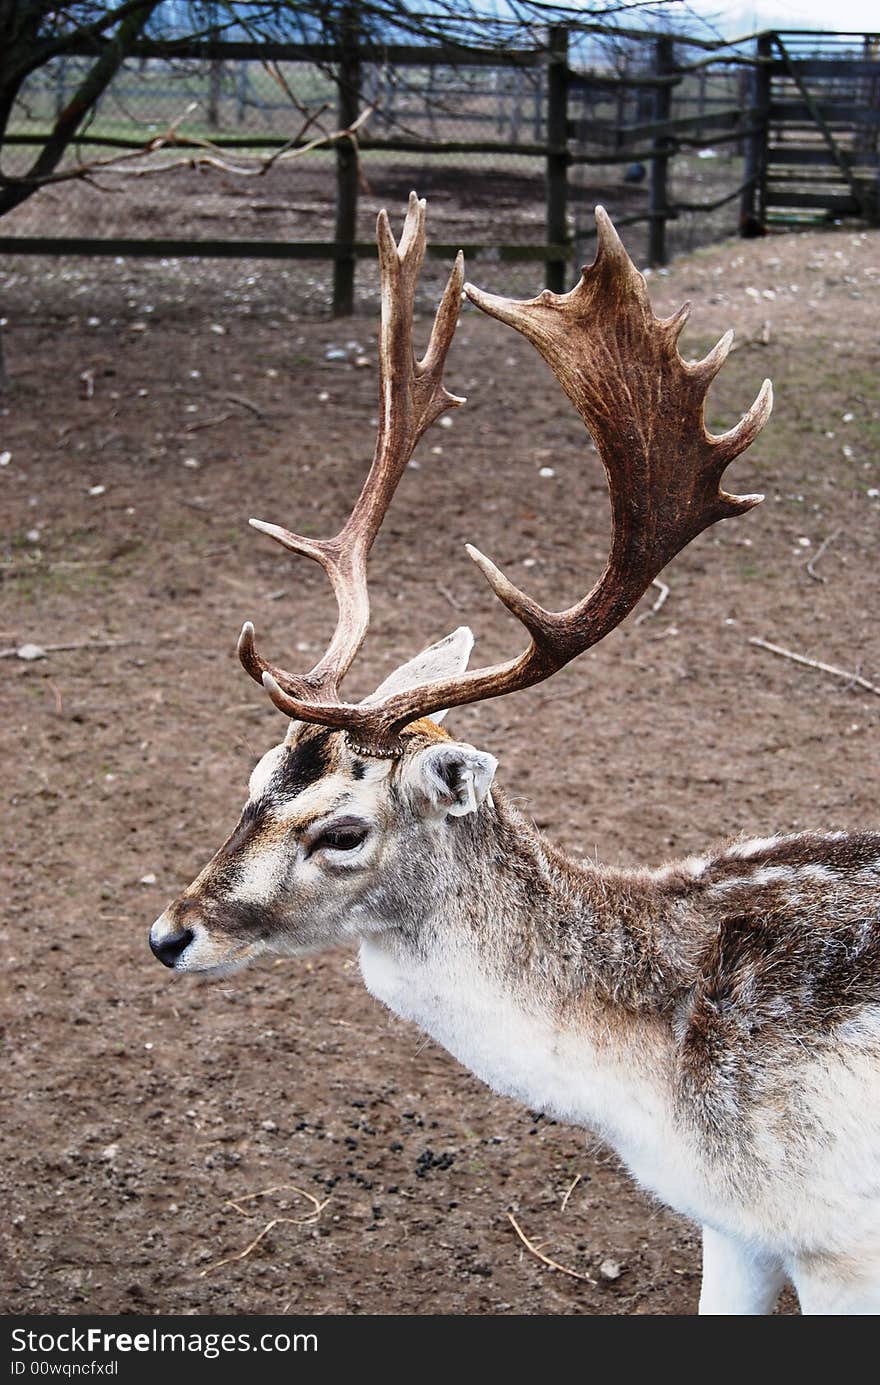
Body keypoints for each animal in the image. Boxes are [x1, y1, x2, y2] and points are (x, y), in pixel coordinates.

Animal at [149, 192, 880, 1307]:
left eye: (342, 831)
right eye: (255, 774)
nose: (169, 932)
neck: (660, 1092)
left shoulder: (839, 1242)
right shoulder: (734, 1224)